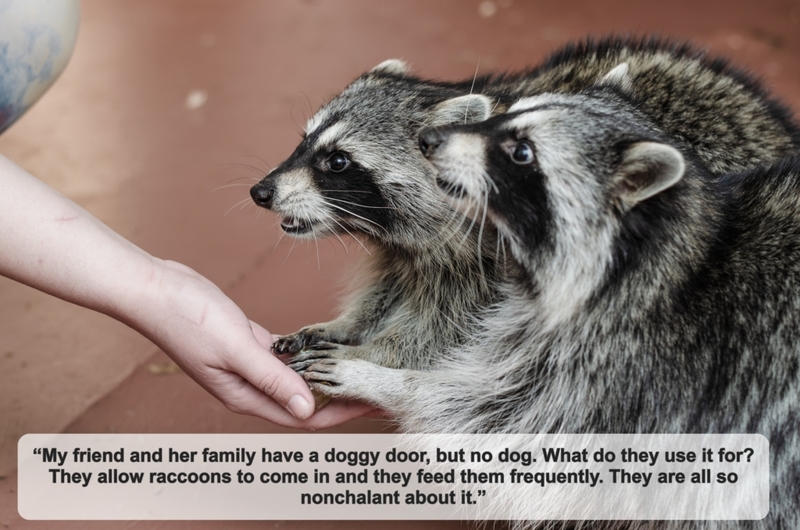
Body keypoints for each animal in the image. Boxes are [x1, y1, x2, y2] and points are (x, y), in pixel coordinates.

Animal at [252, 38, 800, 404]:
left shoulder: (491, 268)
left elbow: (444, 334)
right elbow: (389, 284)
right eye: (304, 142)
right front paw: (348, 325)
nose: (261, 192)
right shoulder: (408, 247)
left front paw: (373, 356)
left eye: (337, 162)